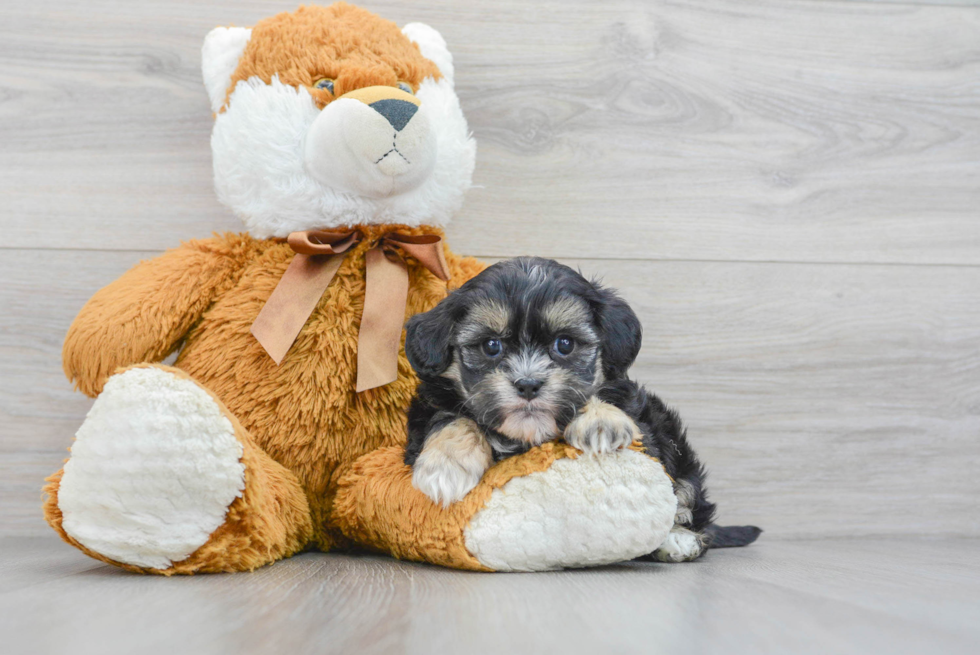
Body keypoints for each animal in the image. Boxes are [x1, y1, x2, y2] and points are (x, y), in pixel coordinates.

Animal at [402, 258, 760, 560]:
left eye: (565, 344)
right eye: (491, 346)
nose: (528, 384)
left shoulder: (644, 428)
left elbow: (600, 399)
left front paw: (601, 423)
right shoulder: (428, 407)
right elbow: (451, 416)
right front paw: (445, 467)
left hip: (673, 441)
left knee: (690, 500)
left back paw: (678, 540)